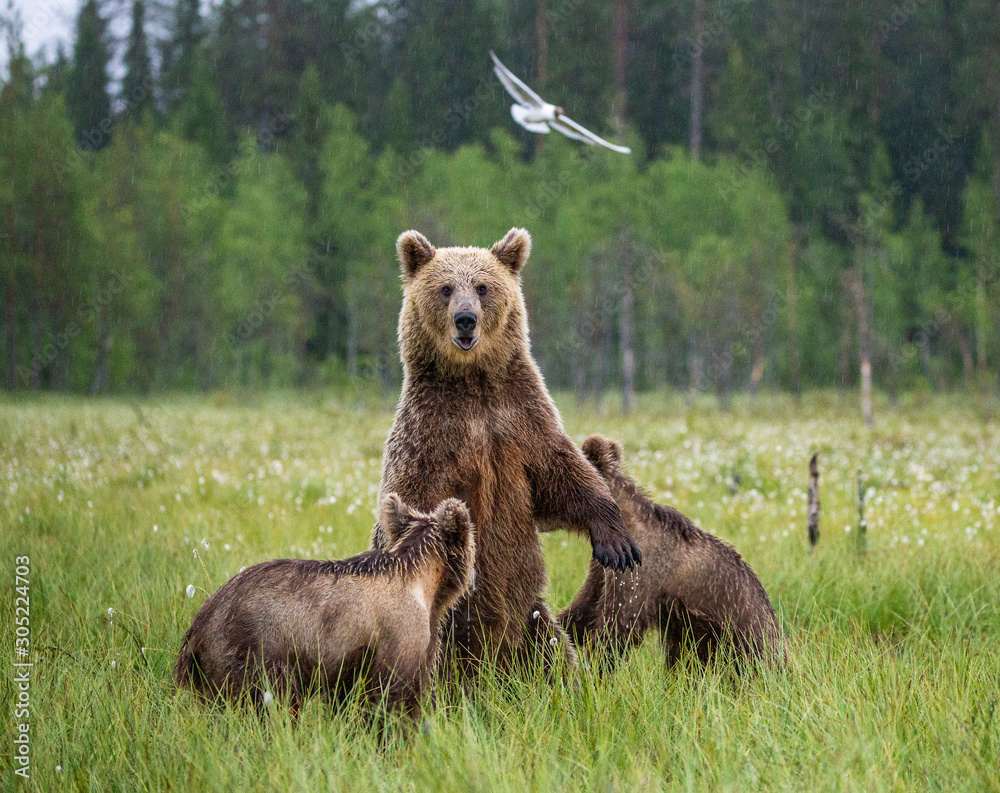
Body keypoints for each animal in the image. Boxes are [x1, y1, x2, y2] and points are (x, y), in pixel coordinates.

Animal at [370, 226, 640, 672]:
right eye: (445, 288)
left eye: (482, 287)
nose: (465, 319)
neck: (473, 382)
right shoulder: (429, 432)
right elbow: (412, 495)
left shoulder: (519, 418)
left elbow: (561, 474)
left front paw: (616, 544)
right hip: (444, 631)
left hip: (533, 616)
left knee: (555, 652)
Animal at [564, 436, 780, 672]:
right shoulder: (602, 571)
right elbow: (585, 608)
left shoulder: (641, 574)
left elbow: (618, 625)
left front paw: (594, 669)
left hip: (739, 633)